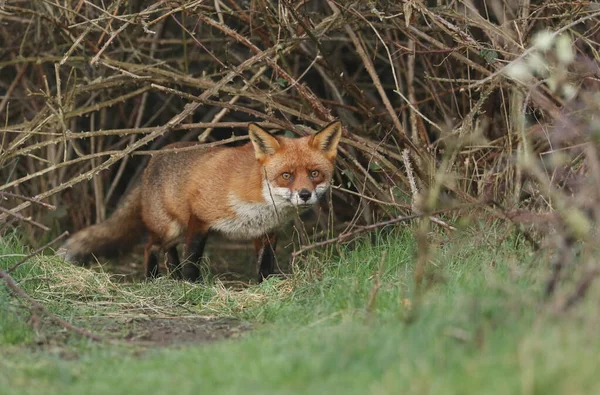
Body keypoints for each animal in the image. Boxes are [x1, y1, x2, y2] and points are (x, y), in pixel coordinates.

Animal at [61, 122, 344, 284]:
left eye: (314, 174)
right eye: (286, 175)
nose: (305, 194)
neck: (258, 198)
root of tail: (153, 160)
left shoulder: (266, 231)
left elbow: (265, 264)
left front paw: (265, 287)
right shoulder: (199, 218)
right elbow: (193, 259)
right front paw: (192, 286)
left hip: (174, 232)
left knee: (169, 253)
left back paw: (172, 279)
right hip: (170, 228)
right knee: (152, 247)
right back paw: (154, 280)